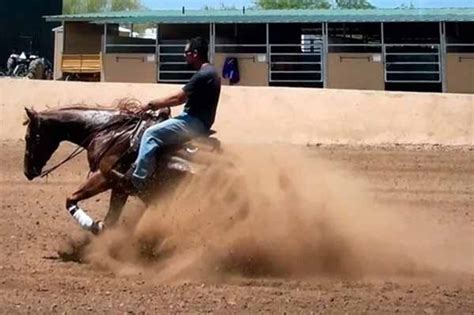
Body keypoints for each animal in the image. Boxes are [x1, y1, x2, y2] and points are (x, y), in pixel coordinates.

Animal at [22, 105, 220, 236]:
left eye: (29, 137)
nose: (27, 171)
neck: (108, 132)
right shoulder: (121, 188)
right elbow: (111, 218)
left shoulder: (106, 176)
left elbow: (71, 199)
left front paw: (94, 226)